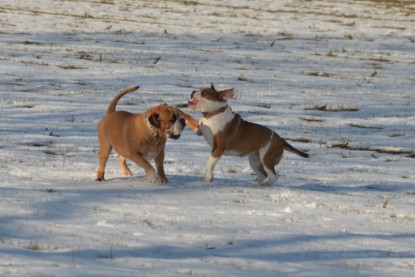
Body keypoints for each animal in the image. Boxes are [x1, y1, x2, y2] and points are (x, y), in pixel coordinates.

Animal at [180, 83, 310, 184]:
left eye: (204, 93)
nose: (193, 91)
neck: (214, 114)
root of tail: (281, 140)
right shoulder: (199, 130)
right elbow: (187, 116)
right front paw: (177, 109)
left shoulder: (218, 148)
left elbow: (210, 163)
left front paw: (208, 177)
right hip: (254, 160)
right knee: (263, 174)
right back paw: (255, 183)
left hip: (266, 158)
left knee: (273, 176)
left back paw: (265, 184)